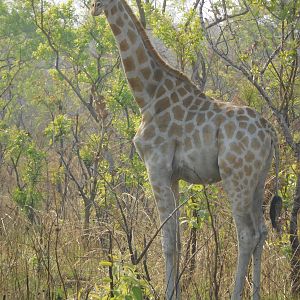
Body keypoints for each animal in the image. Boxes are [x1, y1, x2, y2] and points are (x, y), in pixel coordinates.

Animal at [91, 1, 282, 298]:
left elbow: (167, 242)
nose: (93, 8)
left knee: (247, 234)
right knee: (262, 232)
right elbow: (179, 242)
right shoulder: (174, 176)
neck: (147, 96)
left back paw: (236, 293)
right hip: (258, 179)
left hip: (236, 177)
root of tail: (270, 132)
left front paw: (168, 293)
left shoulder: (156, 168)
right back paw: (256, 294)